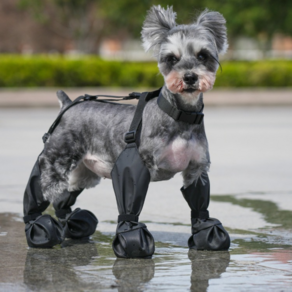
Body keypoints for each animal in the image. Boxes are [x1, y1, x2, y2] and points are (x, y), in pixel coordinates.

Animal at [24, 5, 230, 256]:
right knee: (41, 191)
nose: (190, 77)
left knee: (63, 200)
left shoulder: (196, 170)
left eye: (203, 55)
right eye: (172, 59)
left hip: (83, 173)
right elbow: (130, 207)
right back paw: (38, 229)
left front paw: (208, 235)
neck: (180, 116)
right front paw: (132, 241)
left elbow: (199, 206)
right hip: (54, 162)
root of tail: (68, 104)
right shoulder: (133, 169)